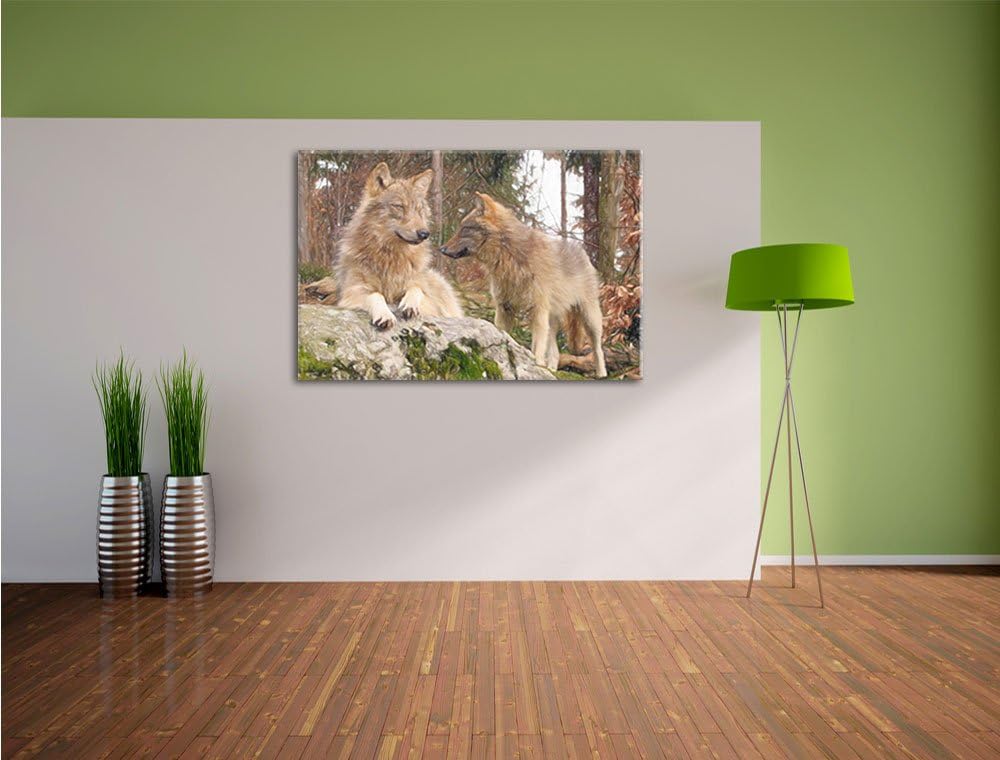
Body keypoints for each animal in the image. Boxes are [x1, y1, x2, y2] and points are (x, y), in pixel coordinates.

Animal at [336, 163, 463, 329]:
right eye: (399, 206)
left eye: (419, 210)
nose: (424, 233)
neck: (391, 255)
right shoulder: (352, 291)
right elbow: (376, 295)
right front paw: (385, 315)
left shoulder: (429, 302)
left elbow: (416, 289)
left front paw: (410, 305)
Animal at [440, 193, 607, 378]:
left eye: (464, 229)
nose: (441, 249)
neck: (509, 257)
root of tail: (582, 251)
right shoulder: (504, 308)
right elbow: (502, 334)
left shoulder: (537, 310)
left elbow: (536, 347)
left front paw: (536, 366)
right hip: (552, 320)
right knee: (555, 352)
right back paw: (551, 370)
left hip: (589, 318)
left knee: (598, 349)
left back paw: (601, 374)